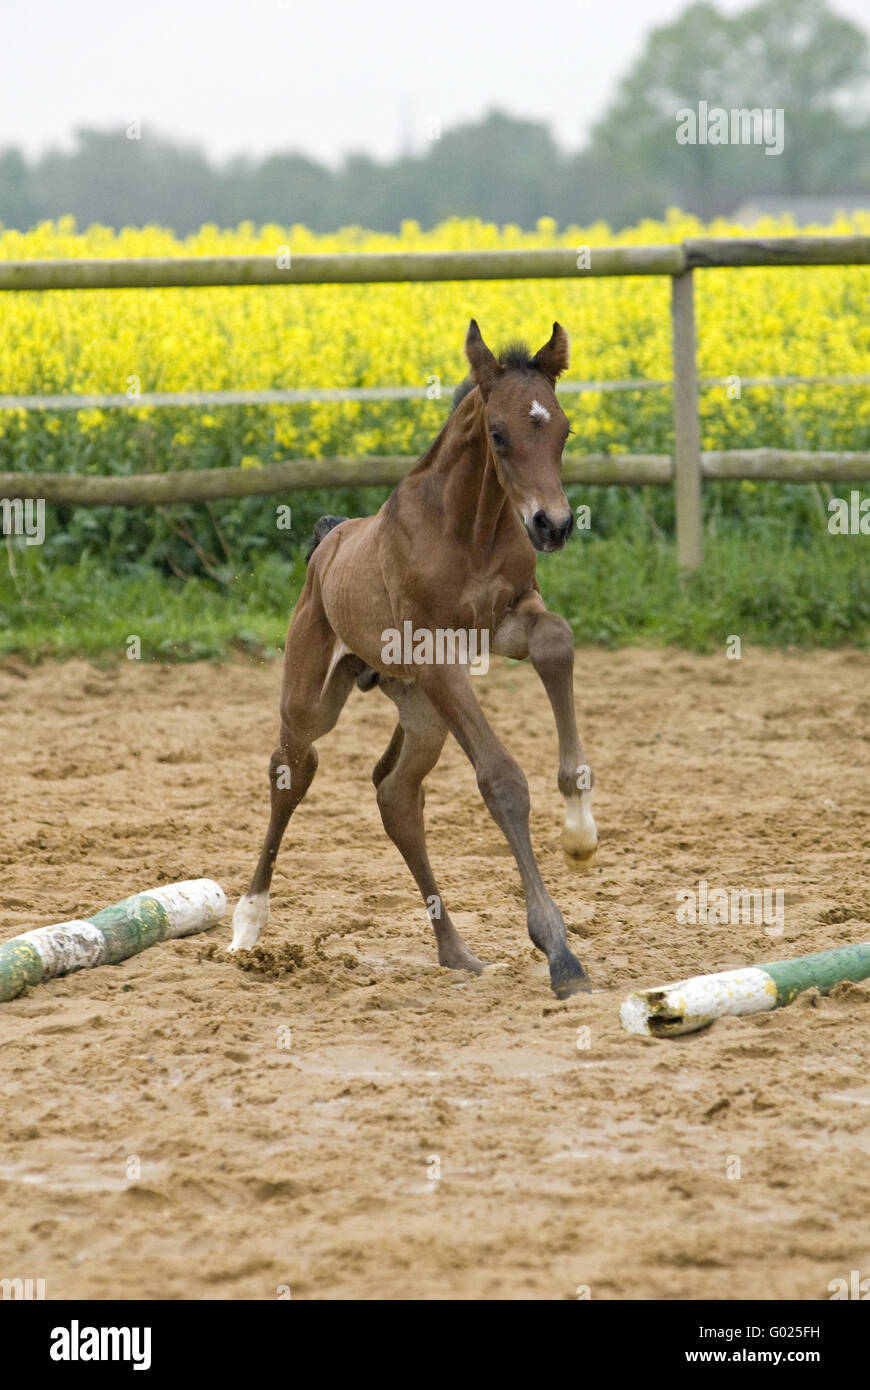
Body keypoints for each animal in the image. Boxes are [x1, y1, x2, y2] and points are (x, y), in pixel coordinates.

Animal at [230, 319, 594, 995]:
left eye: (562, 428)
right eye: (499, 434)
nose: (553, 525)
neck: (467, 528)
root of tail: (329, 541)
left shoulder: (502, 624)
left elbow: (556, 641)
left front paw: (581, 831)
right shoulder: (436, 652)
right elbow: (501, 780)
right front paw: (561, 954)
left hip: (422, 713)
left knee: (396, 794)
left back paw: (457, 952)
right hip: (316, 696)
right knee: (292, 767)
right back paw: (247, 923)